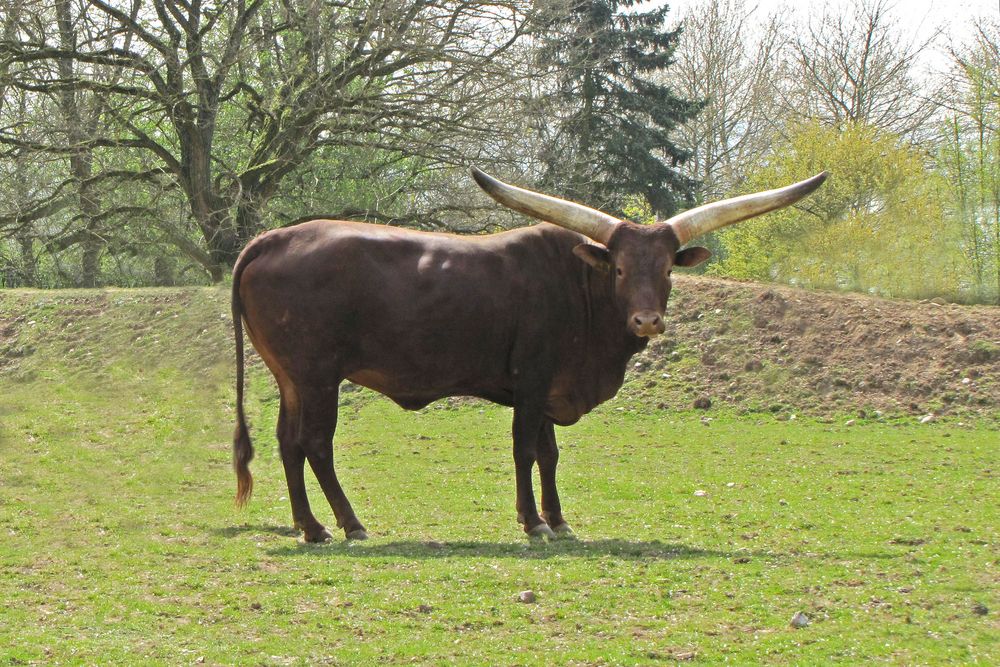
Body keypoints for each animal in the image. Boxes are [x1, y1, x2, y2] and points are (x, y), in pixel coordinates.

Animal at [234, 167, 828, 544]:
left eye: (665, 269)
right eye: (618, 268)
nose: (647, 320)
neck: (580, 286)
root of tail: (271, 239)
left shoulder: (551, 391)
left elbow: (549, 454)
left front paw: (558, 520)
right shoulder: (531, 382)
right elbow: (524, 450)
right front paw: (533, 522)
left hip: (291, 378)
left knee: (288, 443)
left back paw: (310, 527)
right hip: (317, 376)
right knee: (315, 443)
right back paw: (349, 524)